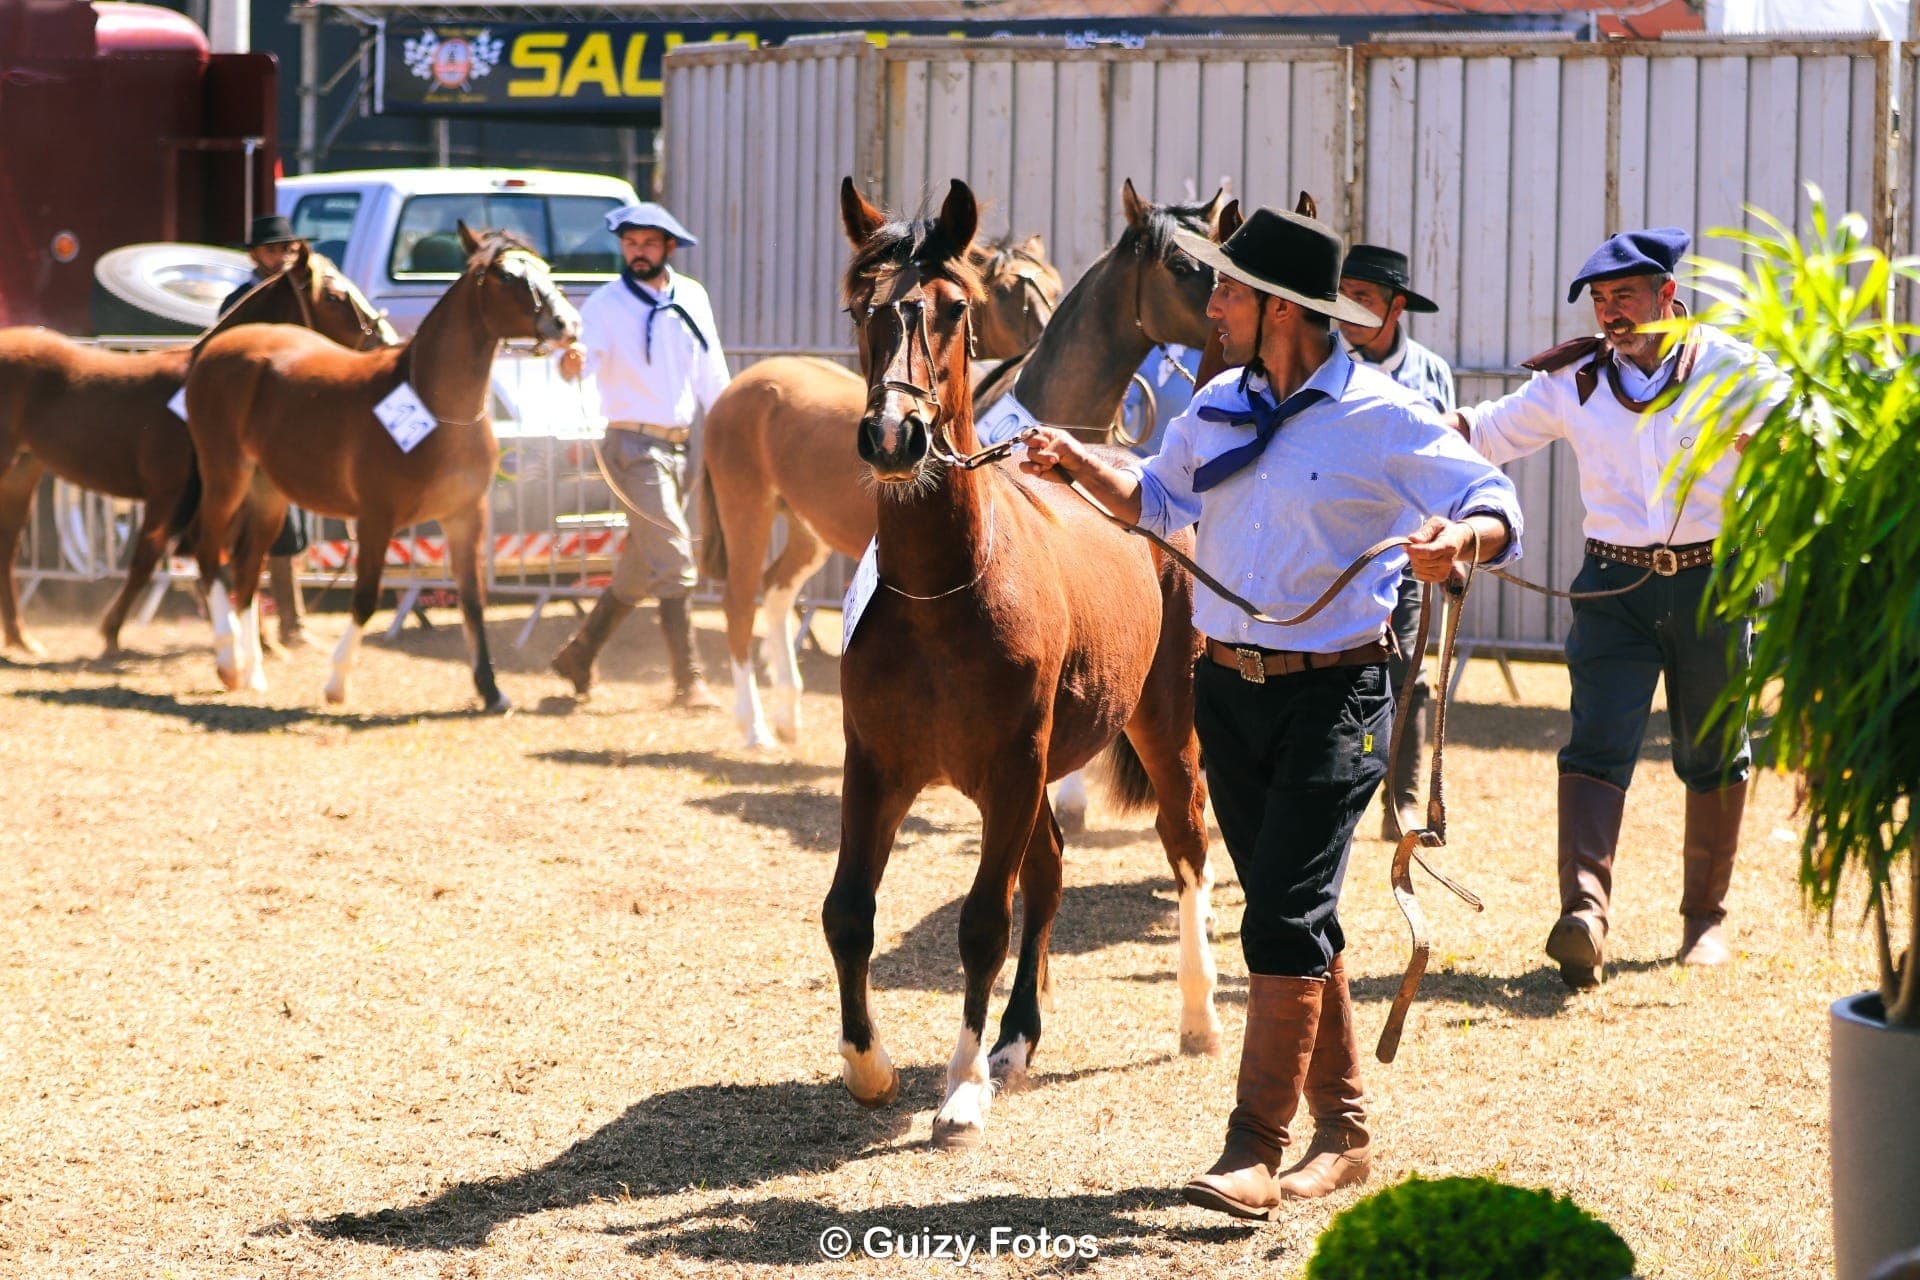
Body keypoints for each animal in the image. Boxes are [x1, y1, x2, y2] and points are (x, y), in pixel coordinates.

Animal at [0, 247, 394, 656]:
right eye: (333, 296)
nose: (386, 340)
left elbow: (236, 562)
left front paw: (255, 638)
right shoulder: (168, 493)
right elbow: (148, 559)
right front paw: (111, 631)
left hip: (22, 472)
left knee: (7, 550)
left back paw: (21, 638)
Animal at [179, 224, 579, 710]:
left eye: (543, 269)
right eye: (505, 276)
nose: (567, 324)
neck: (435, 405)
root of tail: (215, 348)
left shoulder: (466, 515)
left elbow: (472, 599)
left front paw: (490, 689)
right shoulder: (375, 518)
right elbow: (366, 598)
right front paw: (336, 683)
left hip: (268, 492)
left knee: (247, 566)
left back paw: (252, 671)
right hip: (226, 476)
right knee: (208, 552)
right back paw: (228, 662)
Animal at [700, 182, 1220, 753]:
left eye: (1053, 282)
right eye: (1179, 264)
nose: (1226, 315)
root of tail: (742, 384)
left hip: (805, 529)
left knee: (776, 592)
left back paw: (787, 715)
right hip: (746, 511)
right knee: (740, 603)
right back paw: (754, 727)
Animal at [825, 177, 1217, 1150]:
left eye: (953, 308)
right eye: (862, 305)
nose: (894, 436)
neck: (944, 588)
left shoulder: (1009, 767)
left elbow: (979, 924)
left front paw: (960, 1092)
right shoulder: (876, 765)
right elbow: (848, 911)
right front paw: (870, 1066)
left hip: (1163, 720)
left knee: (1186, 839)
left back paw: (1198, 1016)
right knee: (1047, 871)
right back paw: (1016, 1042)